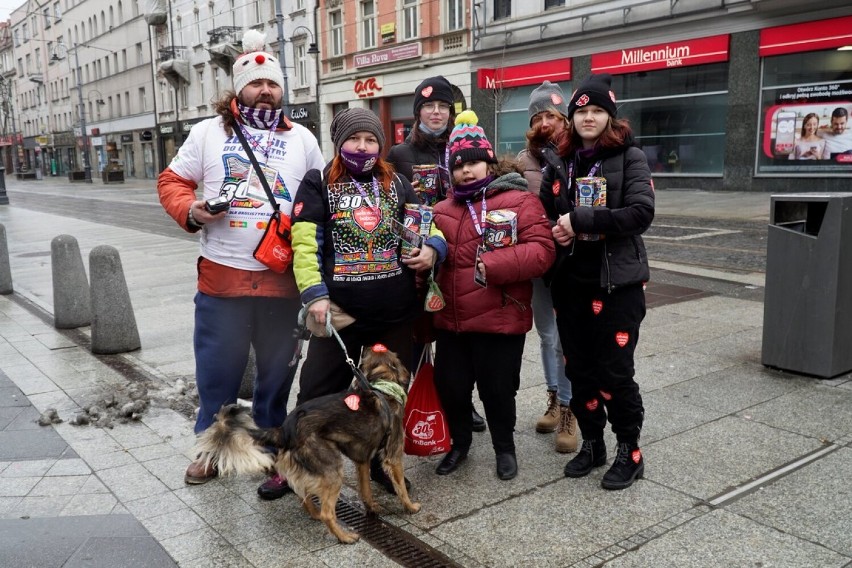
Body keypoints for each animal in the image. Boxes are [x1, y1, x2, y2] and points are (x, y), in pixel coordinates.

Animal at [193, 344, 420, 544]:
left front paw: (372, 507)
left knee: (303, 495)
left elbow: (365, 489)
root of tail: (285, 429)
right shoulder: (393, 456)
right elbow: (400, 486)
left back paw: (316, 514)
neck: (383, 388)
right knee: (327, 512)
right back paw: (344, 536)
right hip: (331, 468)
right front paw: (410, 506)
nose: (365, 346)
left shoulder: (362, 460)